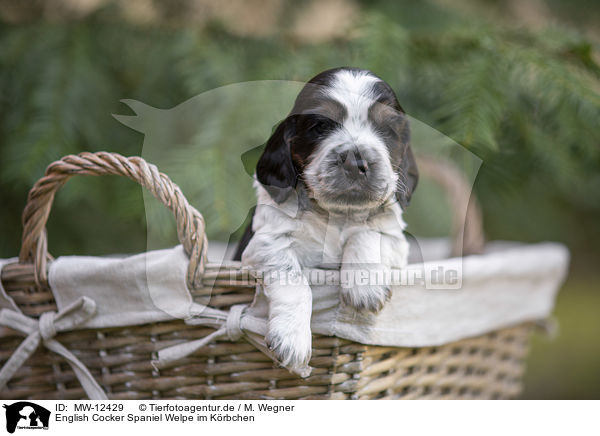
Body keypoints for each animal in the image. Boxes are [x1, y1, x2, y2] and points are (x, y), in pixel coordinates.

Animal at [233, 66, 418, 372]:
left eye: (388, 129)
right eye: (320, 126)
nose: (356, 162)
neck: (336, 213)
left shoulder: (396, 239)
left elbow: (367, 233)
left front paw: (365, 287)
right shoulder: (265, 243)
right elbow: (294, 279)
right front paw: (291, 340)